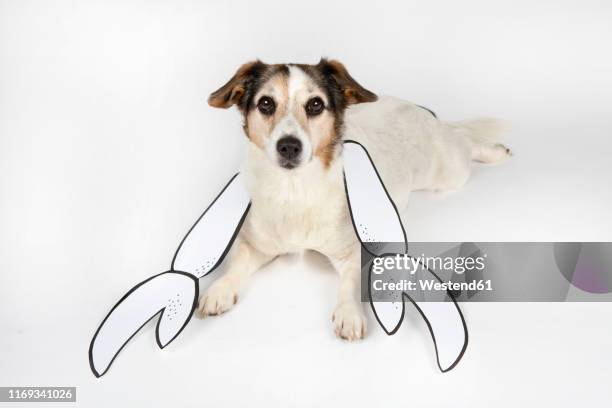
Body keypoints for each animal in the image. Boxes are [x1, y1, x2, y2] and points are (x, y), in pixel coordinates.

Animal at [197, 56, 512, 338]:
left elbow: (350, 282)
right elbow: (236, 264)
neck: (296, 189)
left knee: (466, 140)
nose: (289, 146)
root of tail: (418, 108)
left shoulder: (355, 252)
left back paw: (495, 151)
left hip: (448, 170)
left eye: (315, 104)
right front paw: (220, 289)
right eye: (265, 103)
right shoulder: (256, 246)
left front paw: (348, 313)